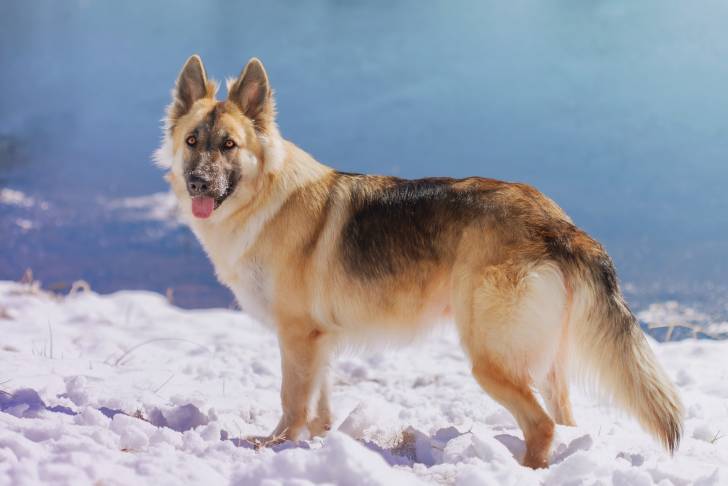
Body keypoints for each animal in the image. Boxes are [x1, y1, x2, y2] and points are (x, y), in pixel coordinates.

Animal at [155, 56, 684, 468]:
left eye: (229, 145)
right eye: (192, 142)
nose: (199, 183)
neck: (265, 200)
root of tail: (557, 222)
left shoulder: (297, 336)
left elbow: (292, 401)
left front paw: (276, 446)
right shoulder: (319, 341)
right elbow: (318, 405)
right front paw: (317, 443)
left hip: (489, 361)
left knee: (542, 427)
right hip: (545, 366)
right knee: (564, 422)